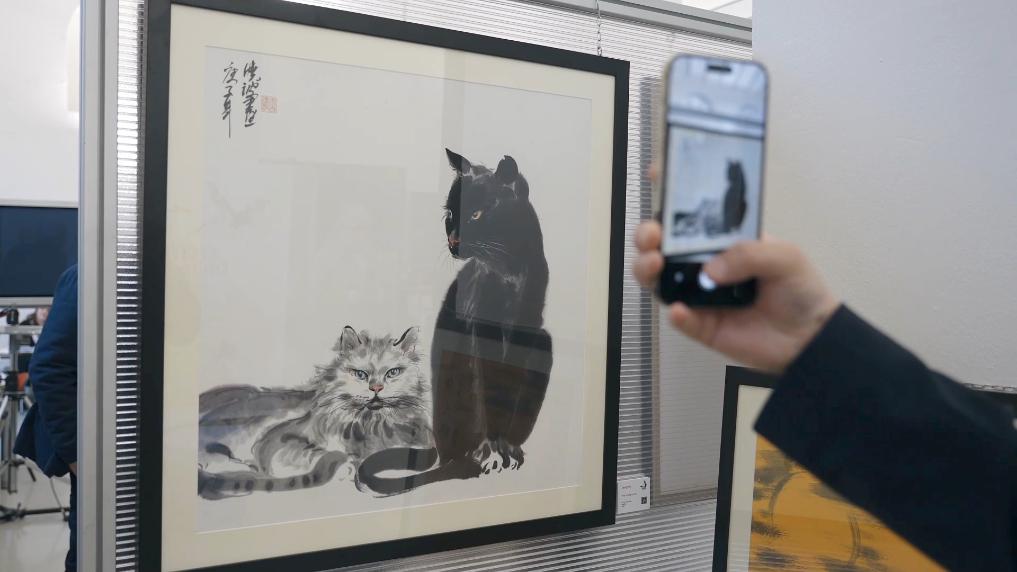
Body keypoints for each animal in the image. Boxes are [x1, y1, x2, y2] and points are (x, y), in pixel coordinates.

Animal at [197, 326, 433, 500]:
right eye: (360, 374)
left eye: (393, 373)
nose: (376, 388)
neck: (370, 424)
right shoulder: (273, 445)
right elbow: (317, 454)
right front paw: (346, 466)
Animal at [357, 149, 553, 496]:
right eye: (450, 213)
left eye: (475, 215)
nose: (452, 241)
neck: (508, 270)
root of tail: (438, 446)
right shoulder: (480, 327)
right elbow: (487, 391)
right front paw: (492, 449)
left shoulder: (528, 328)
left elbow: (509, 389)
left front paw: (505, 446)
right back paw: (472, 460)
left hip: (545, 340)